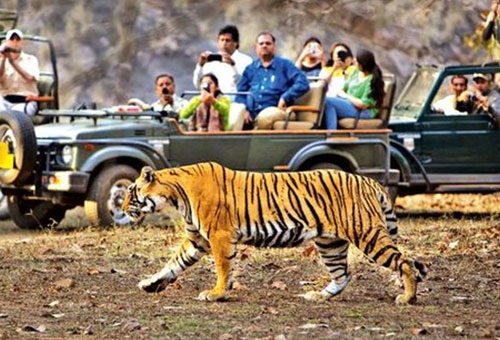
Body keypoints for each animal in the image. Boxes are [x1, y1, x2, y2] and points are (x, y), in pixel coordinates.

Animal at [123, 163, 428, 306]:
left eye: (131, 192)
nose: (123, 208)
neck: (176, 194)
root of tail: (369, 180)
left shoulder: (219, 235)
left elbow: (223, 267)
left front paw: (217, 293)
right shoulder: (197, 239)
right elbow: (173, 263)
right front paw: (150, 283)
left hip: (367, 234)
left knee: (405, 262)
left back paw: (407, 298)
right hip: (331, 243)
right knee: (343, 274)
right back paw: (318, 296)